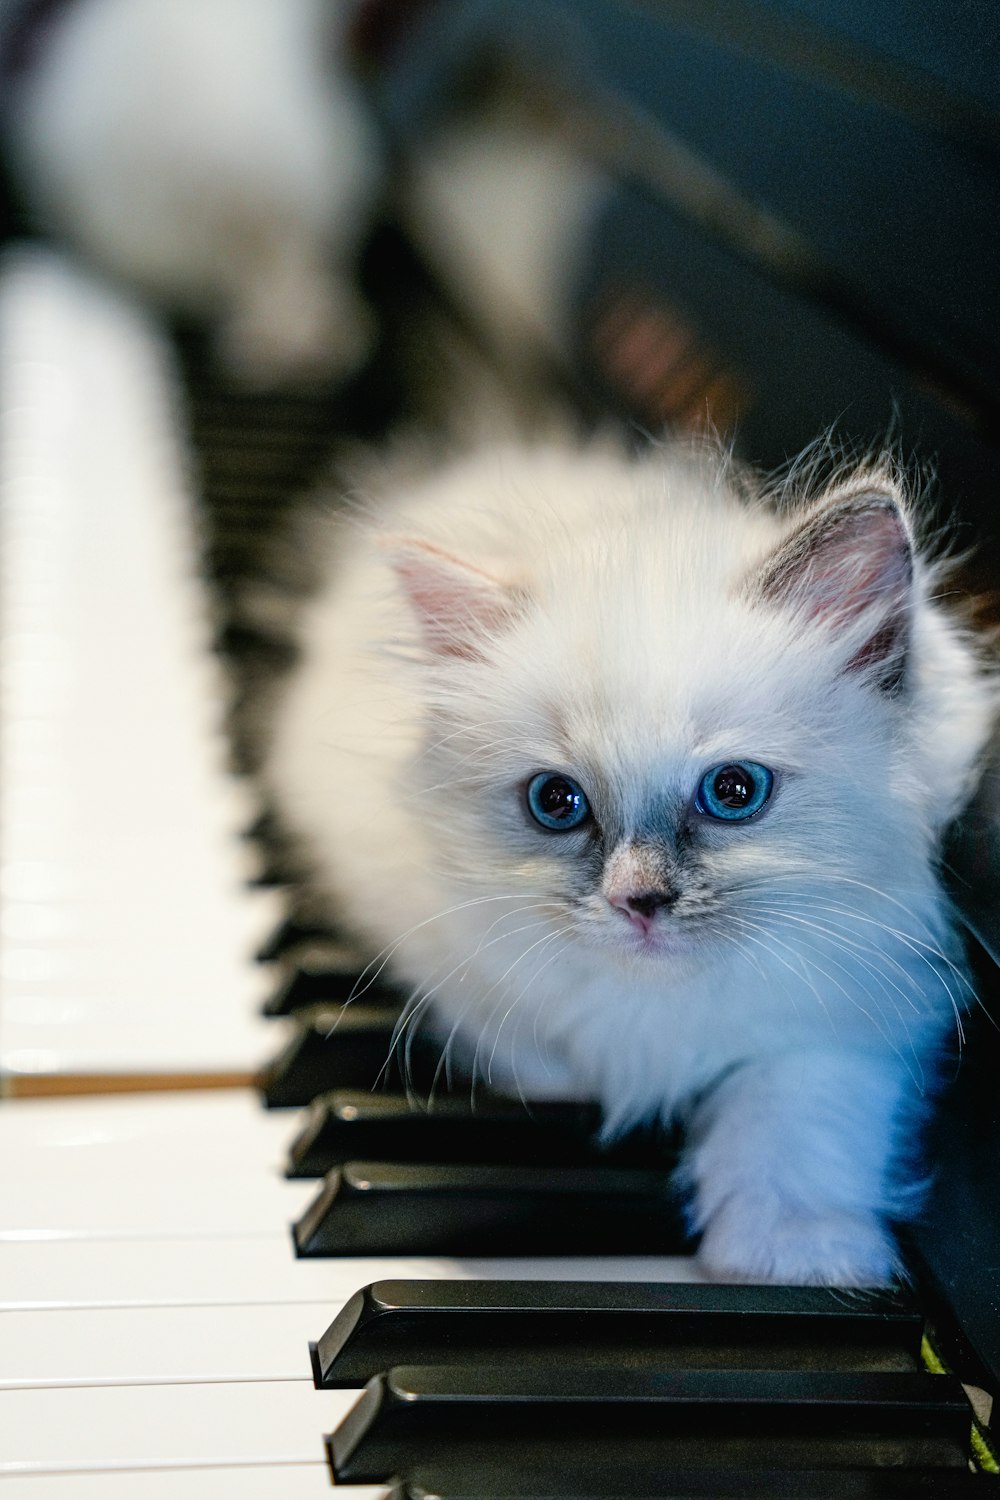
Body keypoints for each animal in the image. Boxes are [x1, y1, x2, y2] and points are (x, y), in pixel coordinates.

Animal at [263, 438, 995, 1290]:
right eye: (557, 802)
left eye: (734, 791)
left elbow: (796, 1116)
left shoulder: (852, 1015)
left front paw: (794, 1257)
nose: (637, 901)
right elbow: (552, 1063)